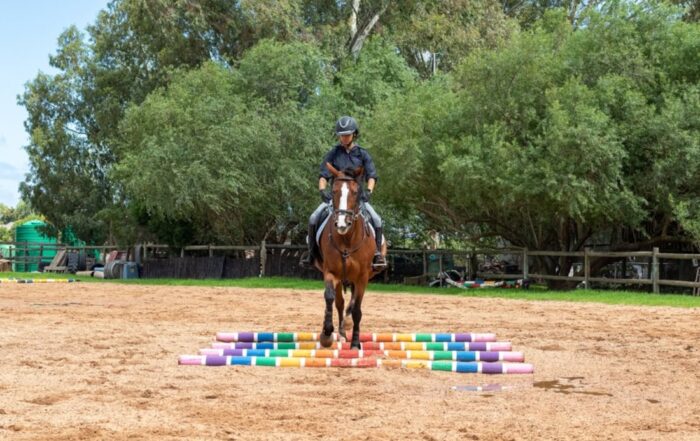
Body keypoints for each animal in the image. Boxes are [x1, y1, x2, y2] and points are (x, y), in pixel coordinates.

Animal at [314, 163, 387, 349]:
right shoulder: (331, 273)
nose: (342, 224)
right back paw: (340, 333)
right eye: (334, 191)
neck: (347, 239)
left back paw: (347, 327)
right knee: (340, 303)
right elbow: (330, 298)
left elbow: (356, 309)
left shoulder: (362, 277)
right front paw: (326, 334)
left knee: (352, 304)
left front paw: (355, 342)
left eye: (355, 192)